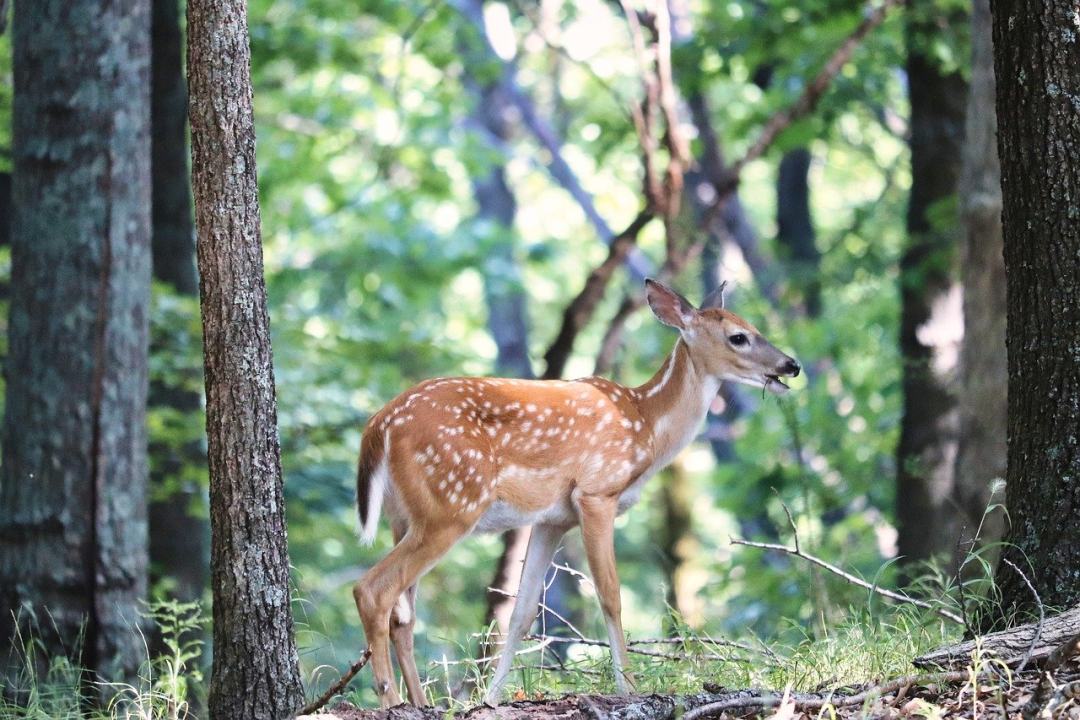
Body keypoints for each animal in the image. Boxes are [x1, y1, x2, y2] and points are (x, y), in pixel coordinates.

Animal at [349, 278, 799, 708]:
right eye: (738, 336)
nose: (790, 365)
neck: (647, 426)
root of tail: (378, 425)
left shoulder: (552, 519)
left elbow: (522, 613)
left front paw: (491, 699)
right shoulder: (596, 492)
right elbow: (611, 595)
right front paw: (629, 688)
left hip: (407, 515)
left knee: (403, 613)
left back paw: (421, 702)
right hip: (452, 504)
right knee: (373, 590)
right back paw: (390, 698)